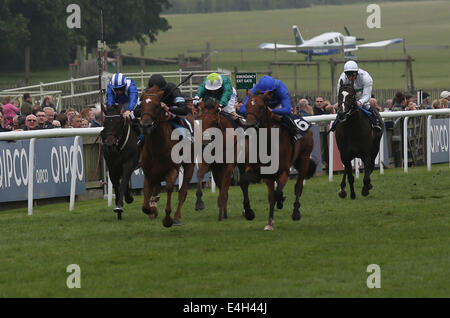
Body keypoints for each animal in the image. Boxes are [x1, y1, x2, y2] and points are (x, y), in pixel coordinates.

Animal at [140, 85, 194, 227]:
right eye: (141, 105)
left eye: (157, 106)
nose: (145, 126)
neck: (156, 147)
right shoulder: (148, 173)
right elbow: (145, 205)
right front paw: (152, 209)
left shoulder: (172, 170)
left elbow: (170, 188)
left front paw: (167, 219)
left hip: (190, 165)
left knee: (182, 192)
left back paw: (176, 217)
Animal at [244, 90, 314, 230]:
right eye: (247, 105)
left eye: (261, 107)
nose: (249, 125)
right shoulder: (261, 172)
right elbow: (267, 193)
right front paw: (258, 217)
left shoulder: (284, 171)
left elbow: (276, 194)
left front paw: (280, 202)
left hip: (304, 158)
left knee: (298, 186)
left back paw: (296, 212)